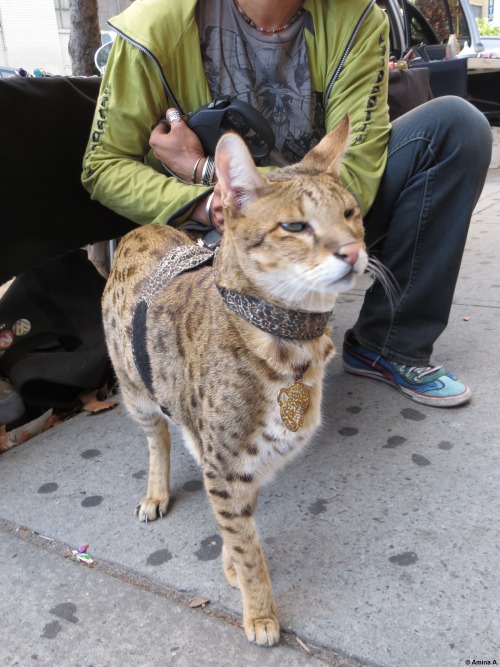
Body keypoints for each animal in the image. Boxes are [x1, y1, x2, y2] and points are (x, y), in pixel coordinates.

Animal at [100, 116, 368, 648]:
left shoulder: (248, 461)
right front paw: (260, 611)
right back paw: (156, 490)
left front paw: (231, 567)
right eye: (294, 226)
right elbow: (247, 546)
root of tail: (139, 227)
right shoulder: (226, 462)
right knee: (157, 438)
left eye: (350, 213)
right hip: (135, 392)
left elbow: (240, 528)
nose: (352, 251)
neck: (288, 337)